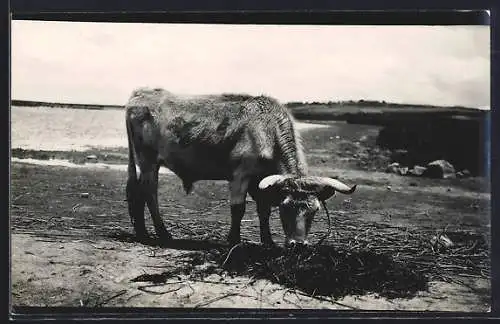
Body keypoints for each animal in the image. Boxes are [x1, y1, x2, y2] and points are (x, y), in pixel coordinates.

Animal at [127, 87, 358, 247]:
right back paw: (162, 234)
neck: (267, 129)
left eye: (314, 210)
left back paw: (143, 232)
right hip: (148, 162)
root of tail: (141, 93)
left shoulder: (261, 182)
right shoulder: (241, 175)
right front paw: (234, 240)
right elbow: (238, 209)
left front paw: (268, 241)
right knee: (149, 193)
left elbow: (263, 211)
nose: (298, 245)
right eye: (285, 207)